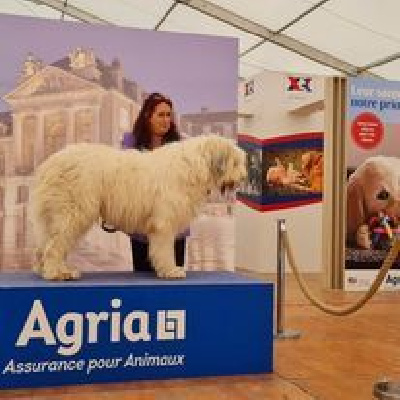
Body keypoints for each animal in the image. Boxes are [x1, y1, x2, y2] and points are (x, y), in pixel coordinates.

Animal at [31, 134, 247, 282]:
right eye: (235, 162)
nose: (244, 177)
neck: (196, 166)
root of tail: (49, 164)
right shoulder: (164, 222)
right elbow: (164, 249)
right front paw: (171, 270)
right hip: (72, 212)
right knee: (54, 246)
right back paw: (57, 273)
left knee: (49, 245)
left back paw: (53, 269)